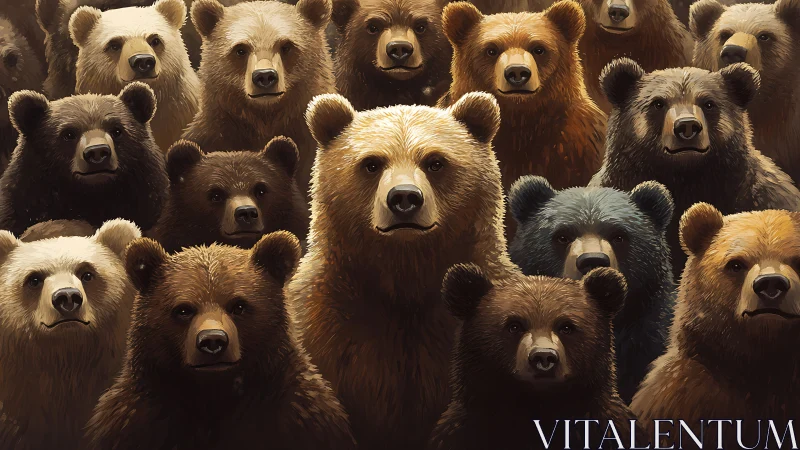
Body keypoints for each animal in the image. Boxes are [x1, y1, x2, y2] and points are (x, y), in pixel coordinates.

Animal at [85, 232, 357, 450]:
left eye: (239, 305)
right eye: (183, 309)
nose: (213, 341)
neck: (214, 398)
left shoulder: (299, 416)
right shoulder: (138, 419)